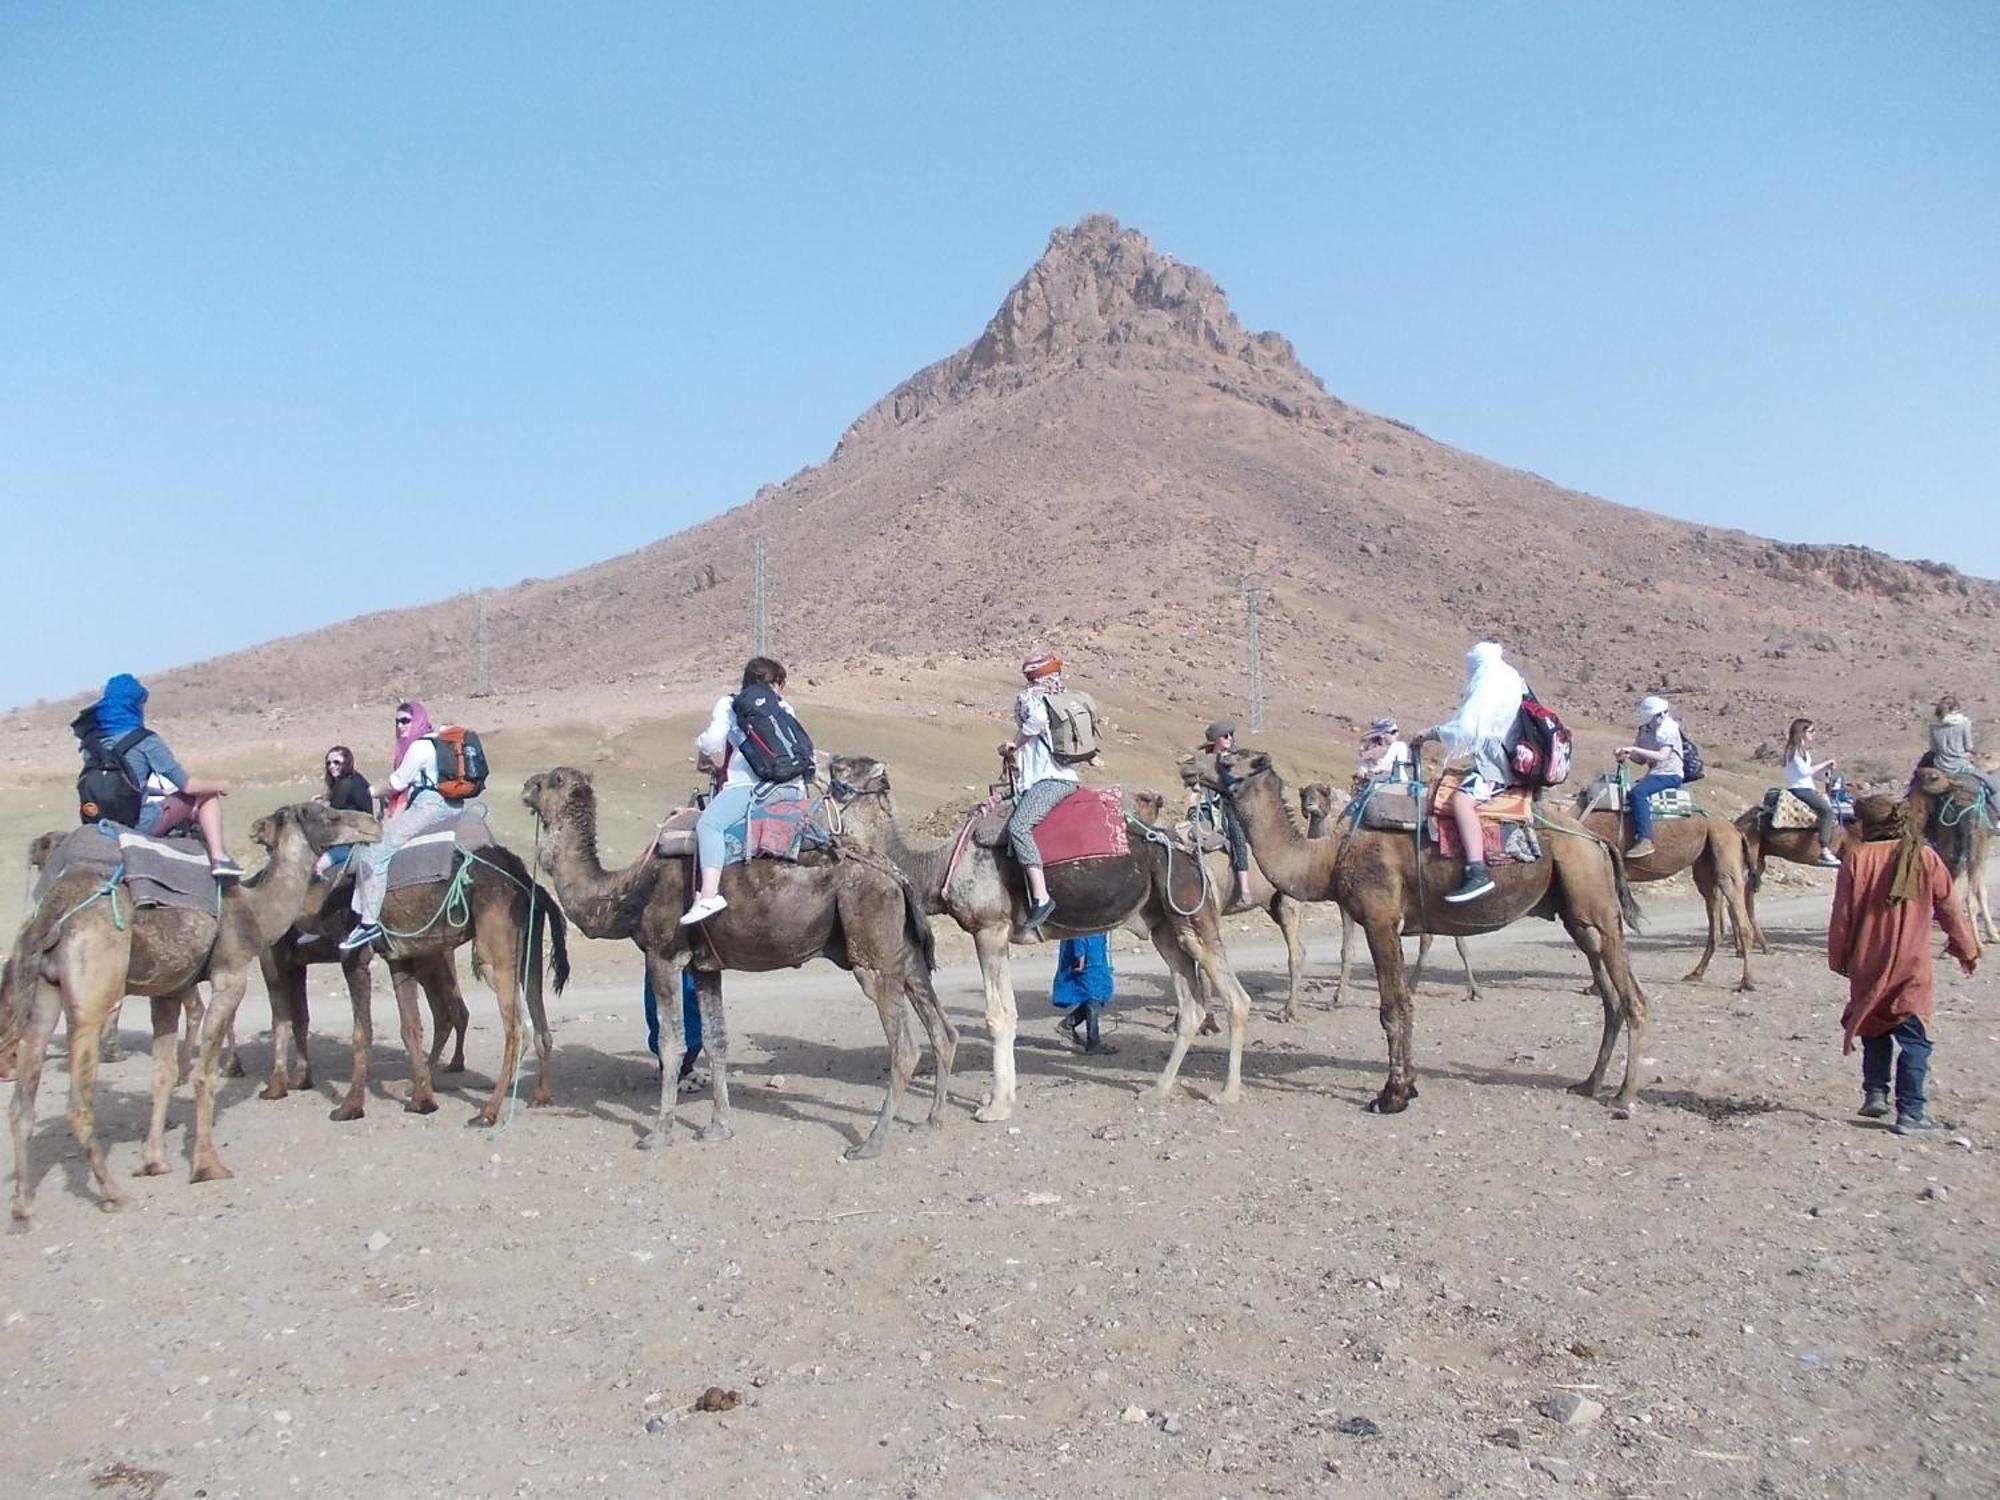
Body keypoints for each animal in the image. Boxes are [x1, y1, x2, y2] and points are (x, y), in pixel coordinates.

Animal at [4, 804, 376, 1224]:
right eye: (328, 816)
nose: (371, 824)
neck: (256, 911)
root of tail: (52, 911)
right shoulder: (231, 974)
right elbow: (205, 1073)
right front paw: (207, 1165)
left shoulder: (167, 991)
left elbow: (163, 1075)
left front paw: (153, 1161)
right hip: (91, 992)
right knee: (79, 1105)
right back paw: (114, 1194)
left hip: (45, 992)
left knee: (21, 1103)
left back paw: (23, 1208)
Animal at [524, 768, 960, 1160]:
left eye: (552, 781)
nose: (526, 787)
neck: (626, 890)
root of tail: (895, 873)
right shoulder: (704, 967)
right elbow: (716, 1040)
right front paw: (718, 1127)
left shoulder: (662, 956)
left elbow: (670, 1043)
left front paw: (658, 1134)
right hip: (904, 953)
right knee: (942, 1030)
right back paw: (931, 1120)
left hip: (872, 949)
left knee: (904, 1048)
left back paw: (870, 1143)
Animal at [820, 756, 1256, 1120]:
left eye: (841, 768)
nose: (814, 761)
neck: (938, 867)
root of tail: (1193, 850)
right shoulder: (997, 936)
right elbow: (1008, 1013)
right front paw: (999, 1097)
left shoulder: (989, 929)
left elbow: (998, 1016)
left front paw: (995, 1108)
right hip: (1164, 925)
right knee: (1192, 1005)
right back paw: (1158, 1089)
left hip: (1192, 911)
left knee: (1236, 998)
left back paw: (1227, 1092)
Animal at [1192, 752, 1648, 1120]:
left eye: (1228, 760)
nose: (1188, 765)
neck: (1328, 857)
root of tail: (1596, 839)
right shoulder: (1386, 924)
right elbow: (1404, 1004)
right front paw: (1407, 1086)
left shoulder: (1379, 918)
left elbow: (1392, 1008)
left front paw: (1391, 1096)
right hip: (1578, 915)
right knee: (1610, 998)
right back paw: (1589, 1084)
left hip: (1596, 903)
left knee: (1634, 999)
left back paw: (1624, 1097)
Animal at [1576, 780, 1768, 992]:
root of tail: (1736, 830)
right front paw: (1595, 986)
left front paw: (1597, 987)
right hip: (1706, 865)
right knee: (1715, 925)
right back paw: (1696, 973)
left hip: (1725, 850)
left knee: (1740, 918)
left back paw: (1746, 982)